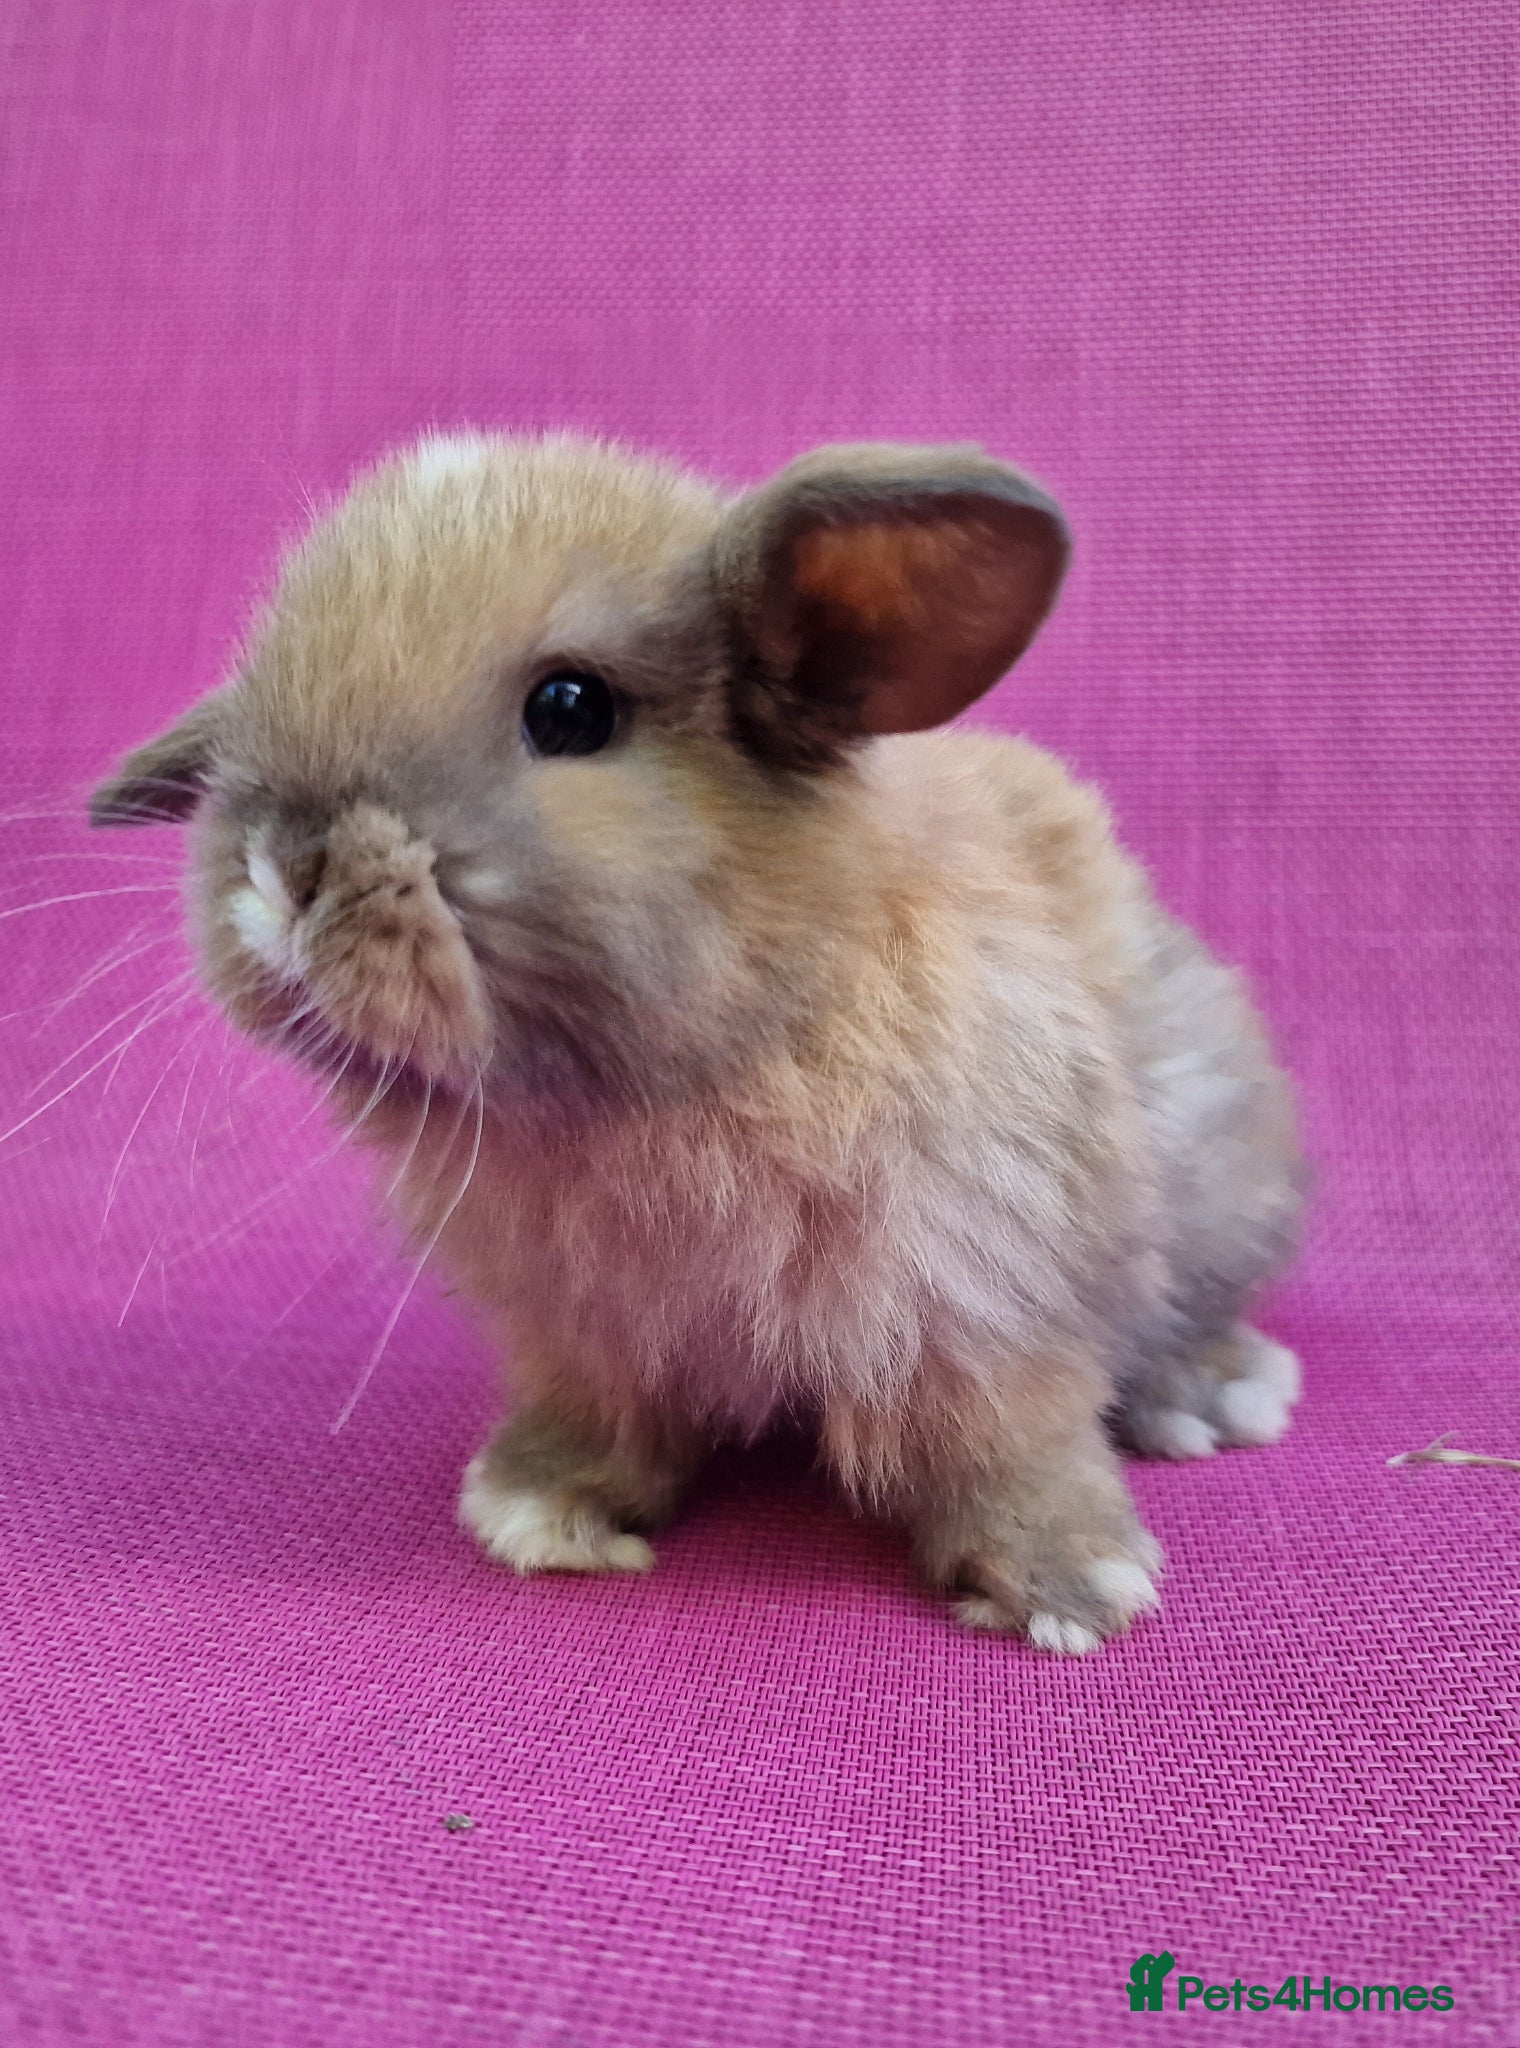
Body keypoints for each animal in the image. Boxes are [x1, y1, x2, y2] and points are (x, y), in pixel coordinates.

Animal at [90, 430, 1305, 1654]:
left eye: (570, 708)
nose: (283, 867)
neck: (660, 1083)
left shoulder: (984, 1298)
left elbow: (1007, 1440)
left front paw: (1072, 1588)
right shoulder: (585, 1337)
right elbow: (599, 1425)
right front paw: (535, 1512)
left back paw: (1214, 1397)